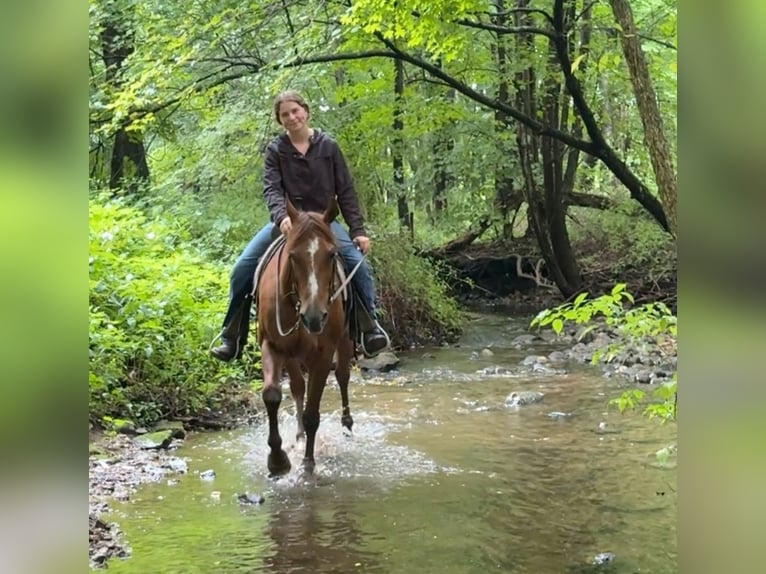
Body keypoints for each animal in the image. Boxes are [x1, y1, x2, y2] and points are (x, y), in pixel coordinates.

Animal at [256, 198, 356, 476]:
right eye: (292, 256)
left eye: (331, 254)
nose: (314, 317)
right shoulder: (271, 345)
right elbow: (272, 395)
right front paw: (278, 460)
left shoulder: (323, 354)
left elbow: (313, 413)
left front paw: (308, 463)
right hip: (292, 355)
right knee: (298, 387)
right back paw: (299, 436)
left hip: (344, 341)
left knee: (342, 376)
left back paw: (347, 424)